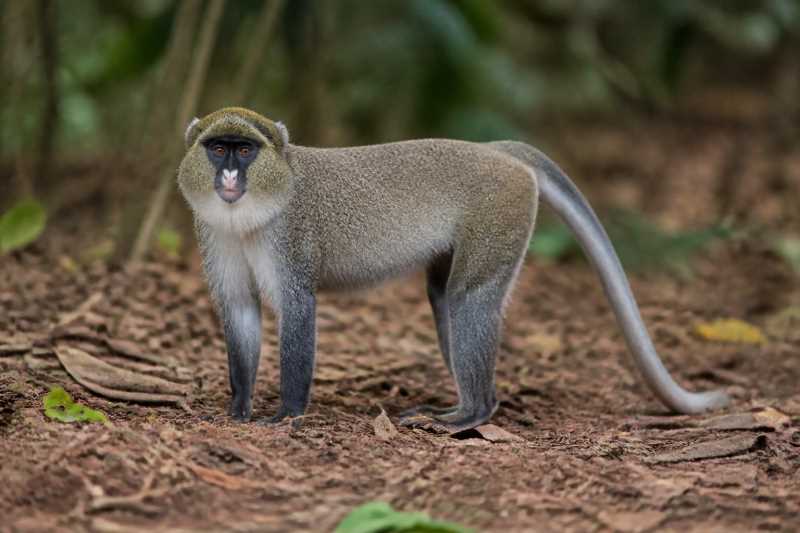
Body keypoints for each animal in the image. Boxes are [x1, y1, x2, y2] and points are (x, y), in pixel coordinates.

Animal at [177, 107, 729, 433]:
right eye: (218, 148)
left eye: (245, 149)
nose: (230, 176)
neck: (251, 213)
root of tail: (494, 151)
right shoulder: (215, 234)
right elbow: (240, 310)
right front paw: (238, 406)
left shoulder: (290, 240)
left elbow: (297, 311)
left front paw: (287, 413)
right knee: (445, 298)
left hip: (501, 214)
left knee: (470, 299)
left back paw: (471, 413)